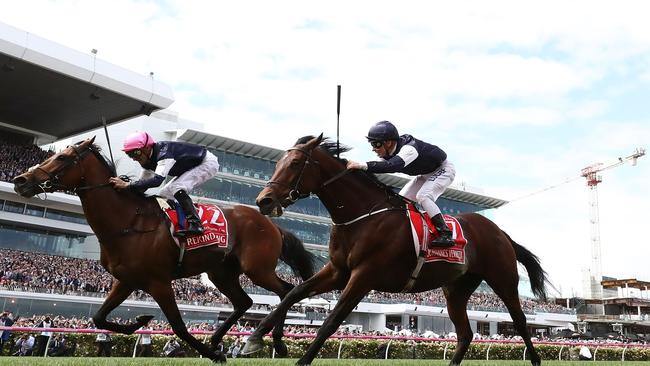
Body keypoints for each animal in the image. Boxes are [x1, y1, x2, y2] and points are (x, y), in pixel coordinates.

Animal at [13, 138, 318, 364]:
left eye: (63, 158)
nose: (21, 180)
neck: (128, 222)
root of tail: (270, 222)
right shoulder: (125, 281)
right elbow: (99, 317)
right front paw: (139, 320)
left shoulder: (159, 282)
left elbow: (178, 326)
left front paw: (212, 355)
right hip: (221, 272)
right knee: (244, 301)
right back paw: (216, 340)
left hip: (258, 268)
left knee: (285, 290)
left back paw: (276, 343)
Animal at [242, 134, 548, 366]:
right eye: (278, 162)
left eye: (294, 163)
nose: (263, 200)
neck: (363, 216)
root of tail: (500, 232)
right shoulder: (338, 271)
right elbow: (292, 294)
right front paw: (256, 340)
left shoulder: (363, 276)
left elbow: (332, 319)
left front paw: (300, 358)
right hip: (456, 289)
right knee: (465, 334)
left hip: (502, 279)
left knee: (520, 321)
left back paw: (535, 360)